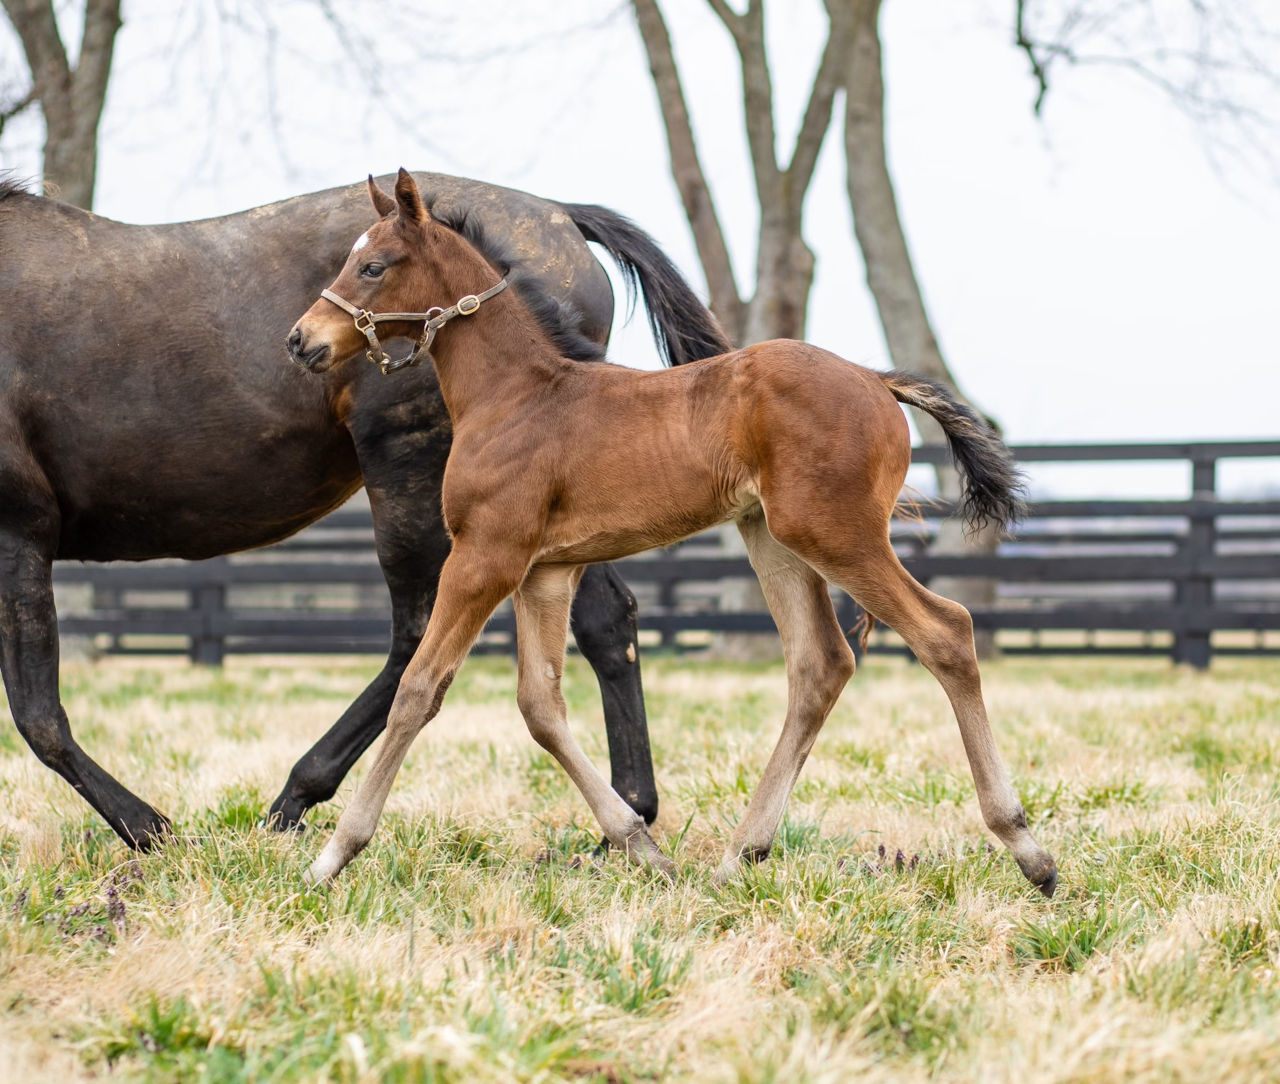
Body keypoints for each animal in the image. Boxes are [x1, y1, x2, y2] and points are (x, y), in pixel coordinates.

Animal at [290, 168, 1059, 900]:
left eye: (373, 265)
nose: (301, 340)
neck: (517, 397)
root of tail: (877, 382)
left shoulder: (487, 556)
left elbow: (419, 687)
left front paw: (333, 856)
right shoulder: (546, 572)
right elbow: (540, 706)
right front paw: (642, 848)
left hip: (835, 533)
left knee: (946, 631)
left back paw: (1028, 850)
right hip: (772, 539)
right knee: (820, 664)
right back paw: (739, 856)